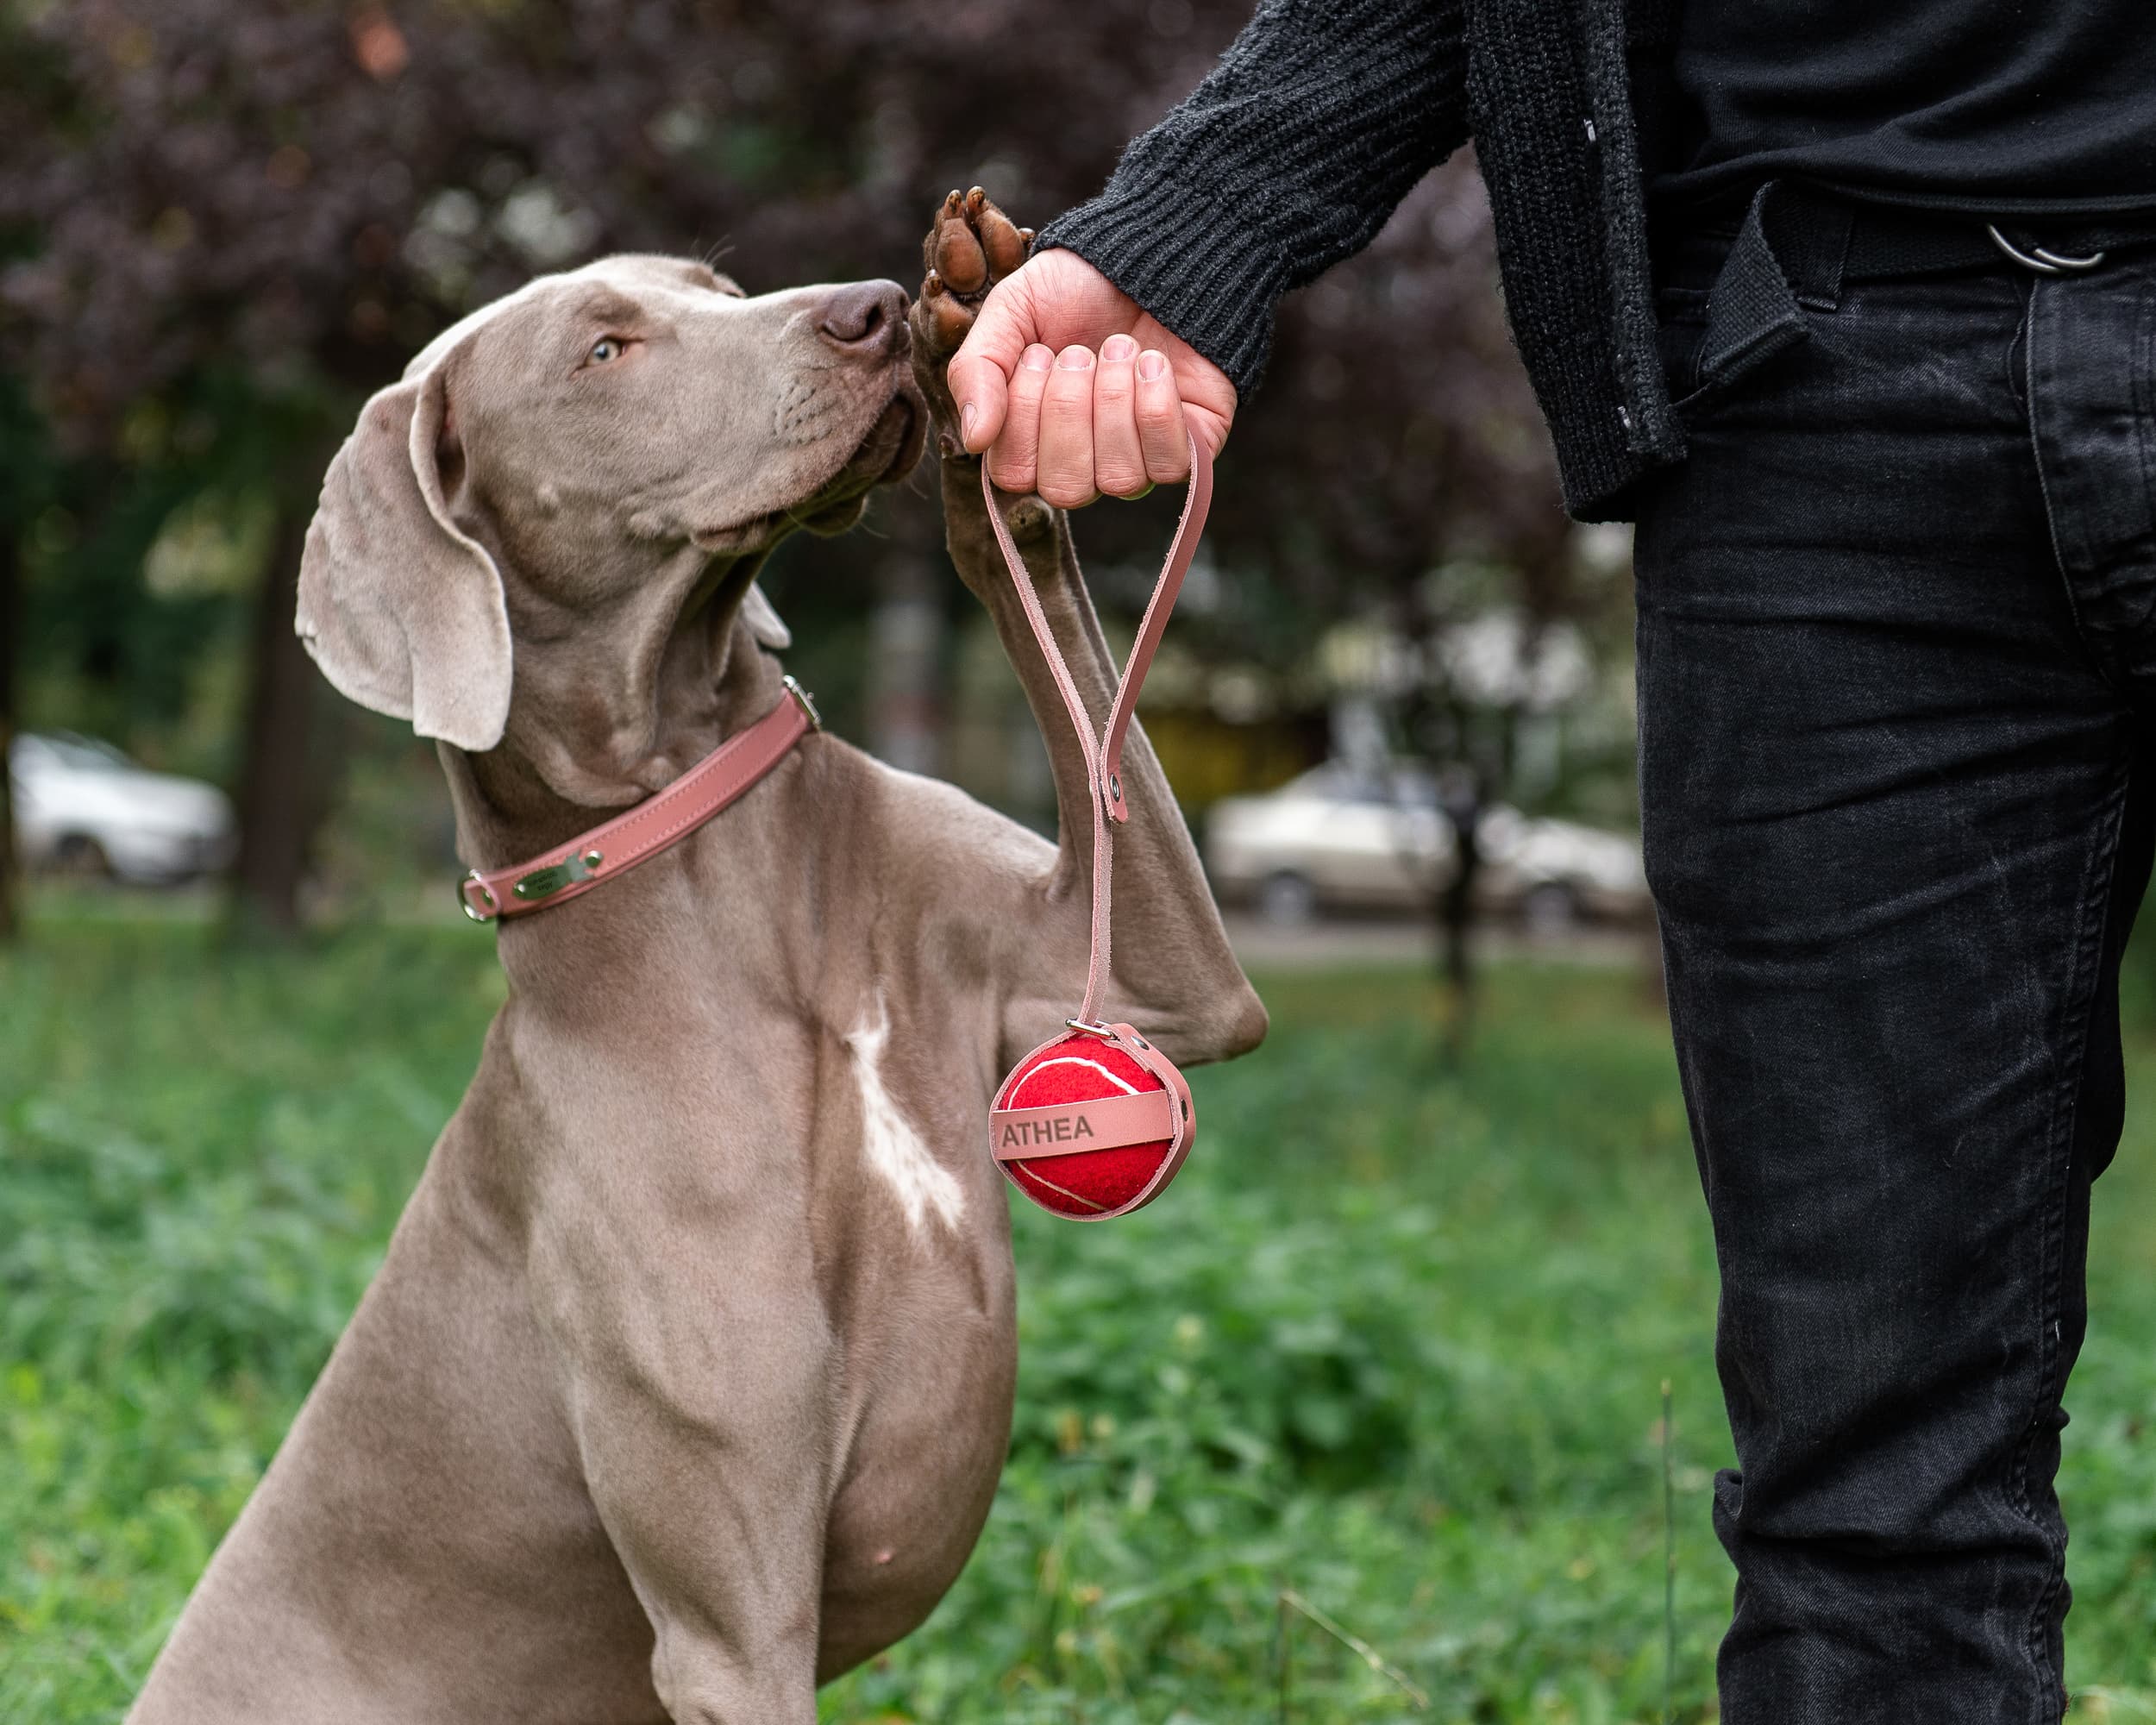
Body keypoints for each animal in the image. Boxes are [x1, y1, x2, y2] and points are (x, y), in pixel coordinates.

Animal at [130, 191, 1259, 1725]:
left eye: (717, 291)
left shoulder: (1157, 994)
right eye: (604, 350)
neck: (729, 875)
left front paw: (991, 342)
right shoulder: (737, 1621)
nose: (868, 310)